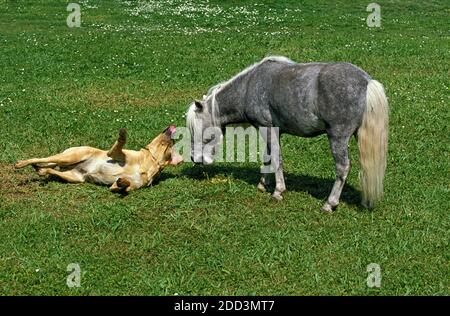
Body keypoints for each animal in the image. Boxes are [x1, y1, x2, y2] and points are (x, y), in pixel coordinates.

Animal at [14, 126, 183, 193]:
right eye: (170, 146)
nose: (174, 132)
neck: (149, 162)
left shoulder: (122, 186)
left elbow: (123, 186)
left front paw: (122, 182)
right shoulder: (113, 153)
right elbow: (119, 145)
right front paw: (122, 135)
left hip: (74, 177)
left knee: (49, 168)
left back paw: (41, 170)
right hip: (69, 156)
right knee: (41, 158)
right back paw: (21, 163)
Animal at [186, 56, 386, 212]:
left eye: (198, 130)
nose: (195, 158)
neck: (248, 87)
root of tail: (367, 82)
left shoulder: (268, 129)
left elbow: (276, 158)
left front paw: (278, 191)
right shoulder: (271, 130)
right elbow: (267, 157)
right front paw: (263, 184)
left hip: (338, 136)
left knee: (343, 167)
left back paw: (330, 203)